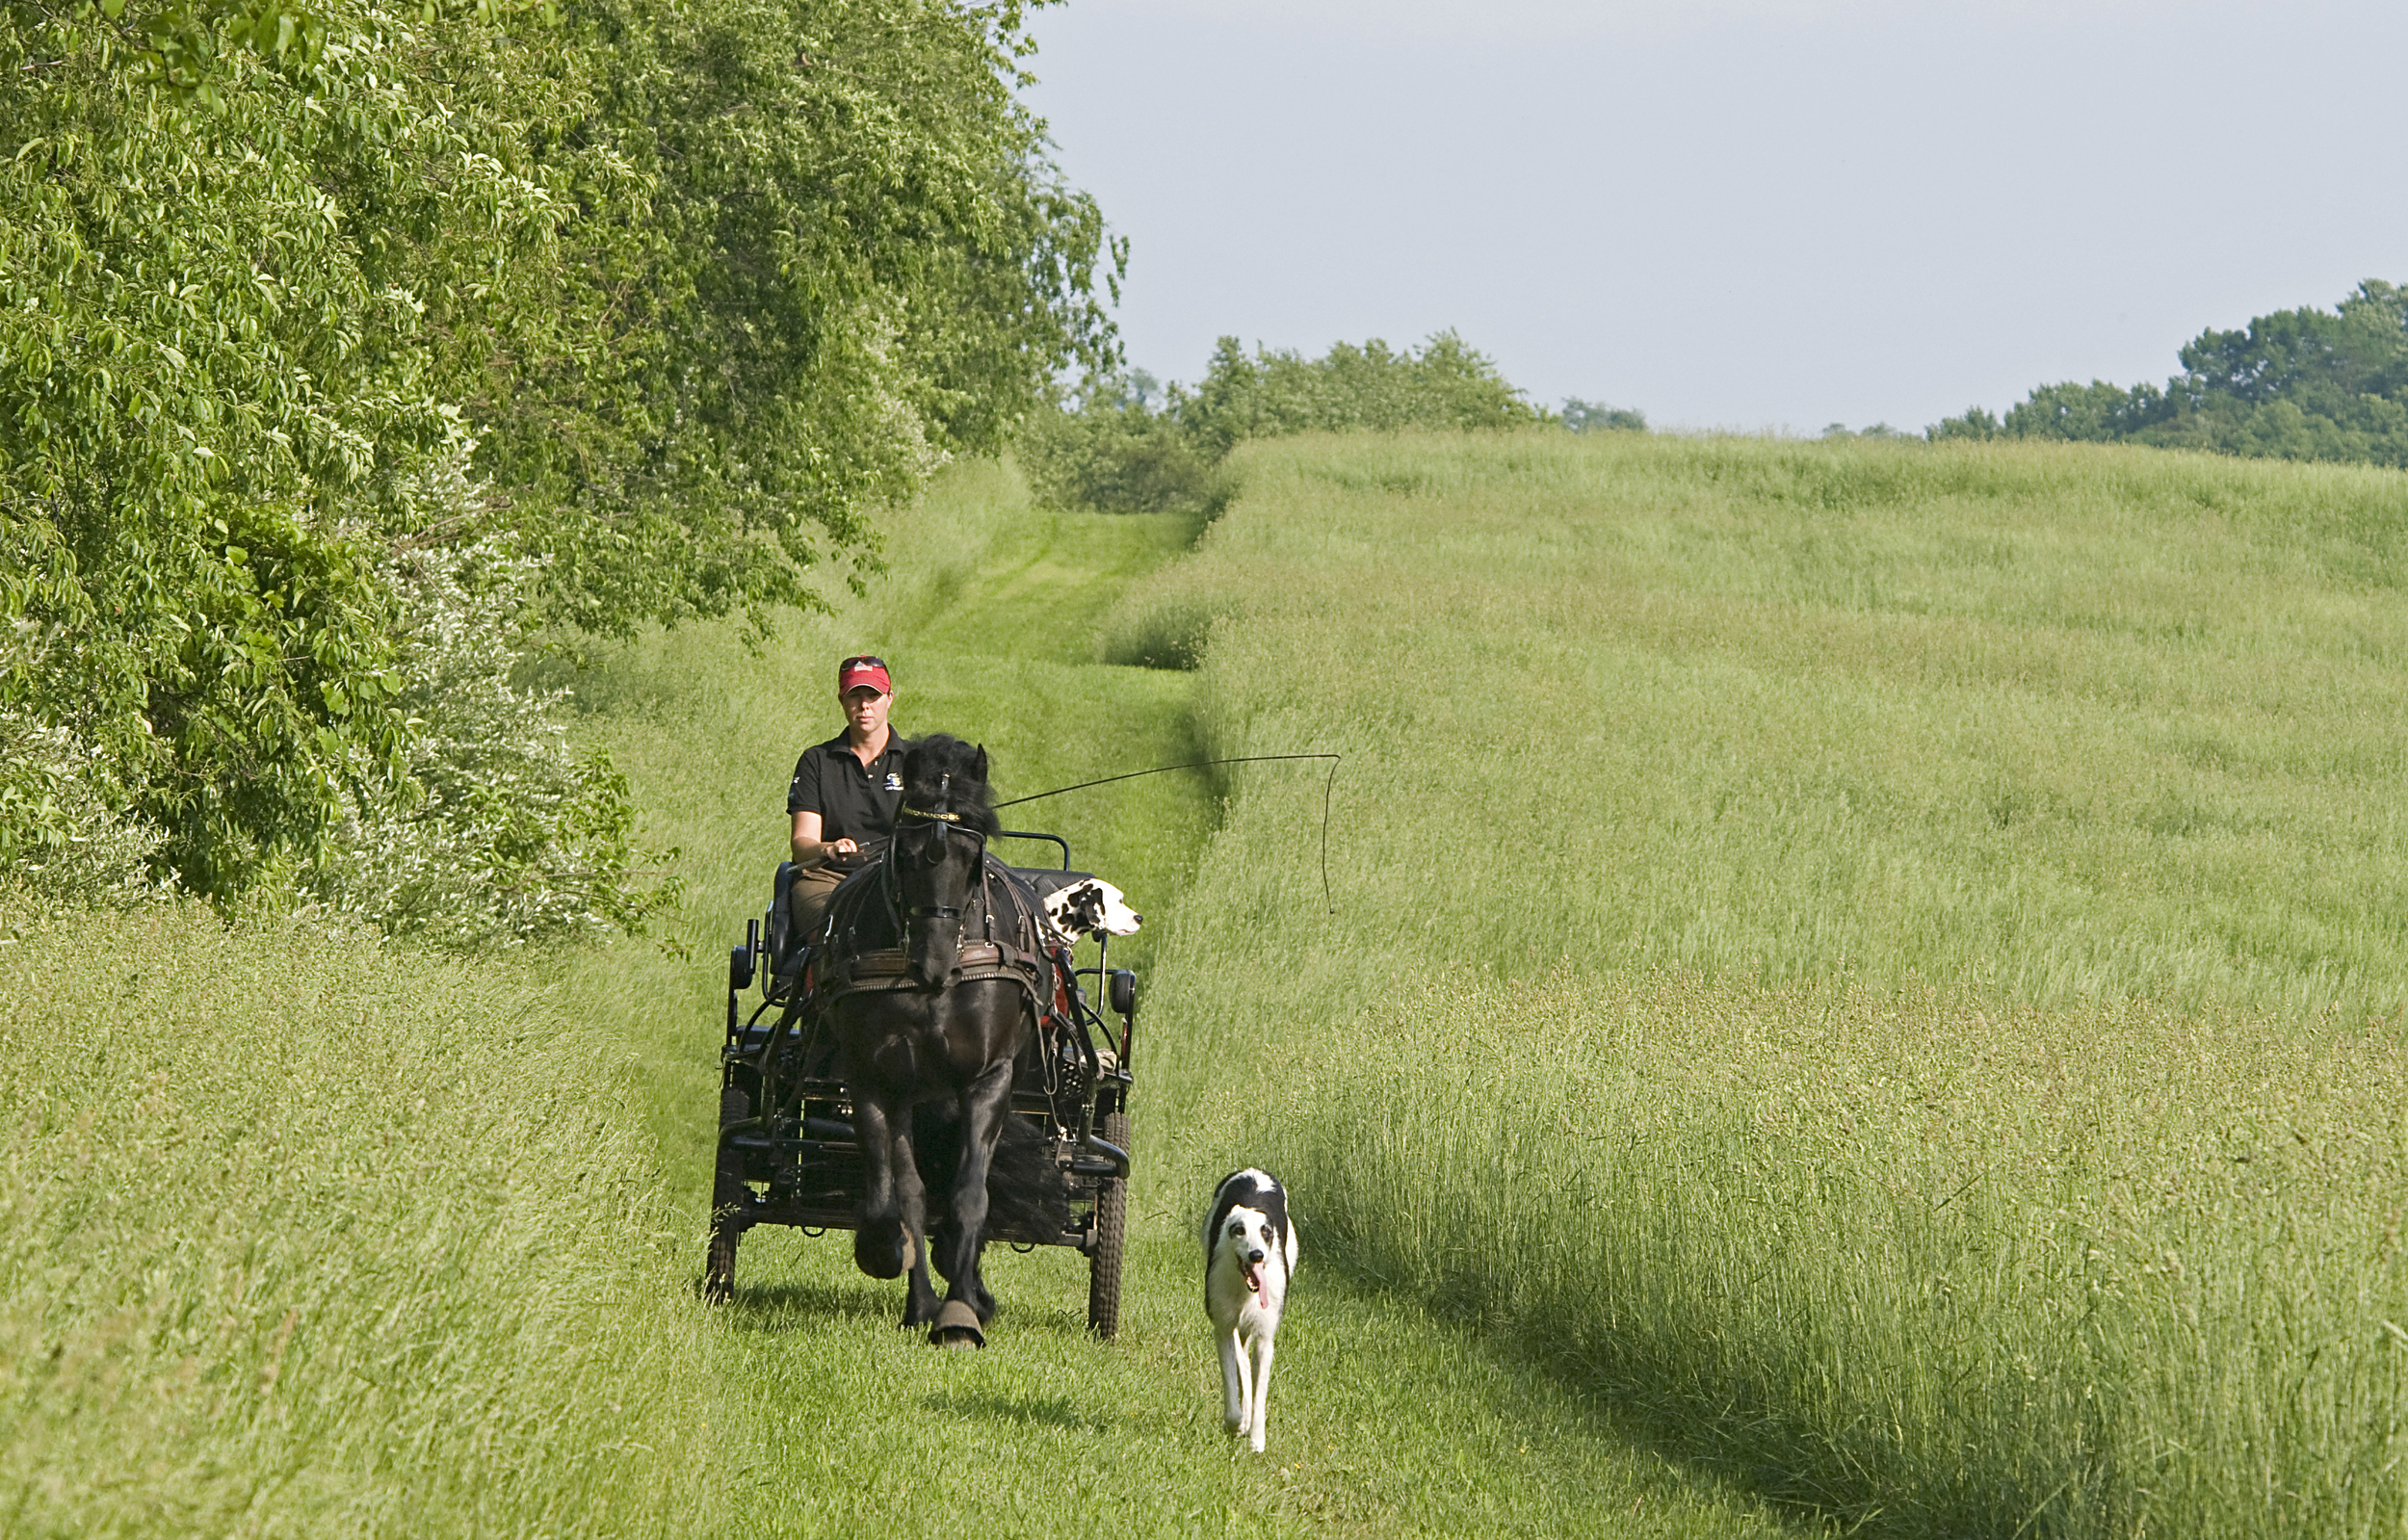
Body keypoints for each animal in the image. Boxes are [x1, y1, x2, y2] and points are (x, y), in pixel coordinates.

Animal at [824, 731, 1060, 1347]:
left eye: (971, 856)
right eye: (904, 853)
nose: (932, 966)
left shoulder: (988, 1079)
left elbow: (970, 1195)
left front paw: (960, 1310)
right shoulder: (876, 1079)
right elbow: (898, 1196)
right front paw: (890, 1257)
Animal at [1204, 1174, 1300, 1453]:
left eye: (1265, 1232)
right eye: (1239, 1230)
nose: (1256, 1255)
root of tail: (1254, 1171)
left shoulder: (1265, 1338)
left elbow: (1259, 1390)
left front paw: (1257, 1439)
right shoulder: (1224, 1327)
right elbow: (1235, 1375)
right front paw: (1238, 1423)